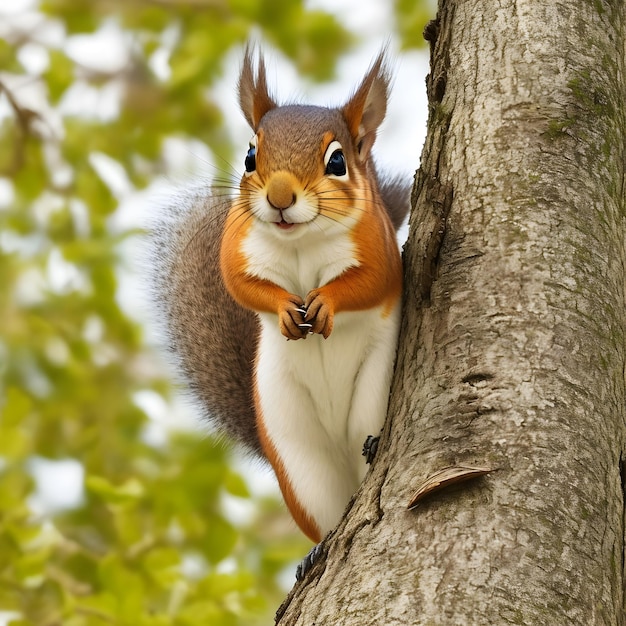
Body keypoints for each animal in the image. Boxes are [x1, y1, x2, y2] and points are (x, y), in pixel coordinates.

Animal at [149, 46, 408, 544]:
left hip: (374, 390)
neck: (299, 242)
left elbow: (371, 282)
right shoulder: (236, 244)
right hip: (294, 449)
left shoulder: (379, 246)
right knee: (324, 513)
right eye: (251, 156)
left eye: (337, 161)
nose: (280, 197)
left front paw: (326, 301)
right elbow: (240, 284)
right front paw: (284, 308)